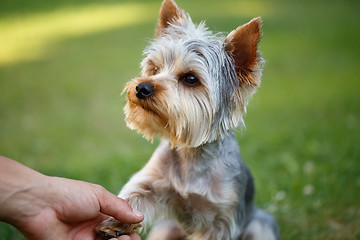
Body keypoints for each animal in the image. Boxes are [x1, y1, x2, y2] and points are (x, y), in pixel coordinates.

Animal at [97, 0, 280, 239]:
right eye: (155, 69)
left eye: (190, 78)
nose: (141, 87)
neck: (189, 154)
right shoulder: (151, 183)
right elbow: (132, 196)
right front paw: (116, 221)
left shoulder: (221, 219)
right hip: (166, 228)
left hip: (260, 225)